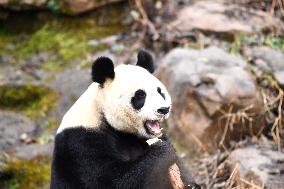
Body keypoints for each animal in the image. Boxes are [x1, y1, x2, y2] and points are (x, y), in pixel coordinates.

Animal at [50, 49, 201, 188]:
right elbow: (112, 181)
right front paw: (163, 151)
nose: (164, 109)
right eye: (140, 95)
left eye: (160, 92)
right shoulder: (81, 145)